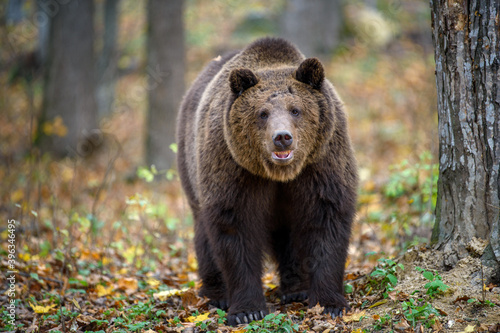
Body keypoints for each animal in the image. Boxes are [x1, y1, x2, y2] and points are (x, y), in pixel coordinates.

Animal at [176, 37, 356, 326]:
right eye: (263, 113)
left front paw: (330, 303)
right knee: (204, 233)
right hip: (190, 164)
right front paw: (247, 310)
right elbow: (234, 229)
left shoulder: (322, 162)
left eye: (296, 110)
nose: (282, 137)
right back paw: (216, 295)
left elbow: (326, 219)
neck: (280, 174)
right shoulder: (234, 168)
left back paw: (297, 289)